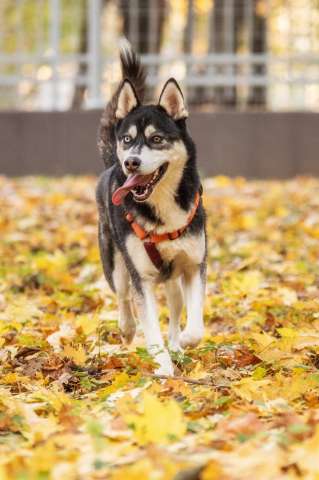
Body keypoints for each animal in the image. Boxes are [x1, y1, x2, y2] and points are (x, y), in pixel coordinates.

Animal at [95, 42, 208, 376]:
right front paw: (163, 368)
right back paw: (127, 328)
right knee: (122, 298)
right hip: (115, 265)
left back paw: (176, 344)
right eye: (127, 139)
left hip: (173, 281)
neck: (161, 206)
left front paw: (183, 342)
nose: (131, 162)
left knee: (175, 308)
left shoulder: (193, 266)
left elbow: (195, 327)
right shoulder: (141, 279)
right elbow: (150, 328)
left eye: (157, 139)